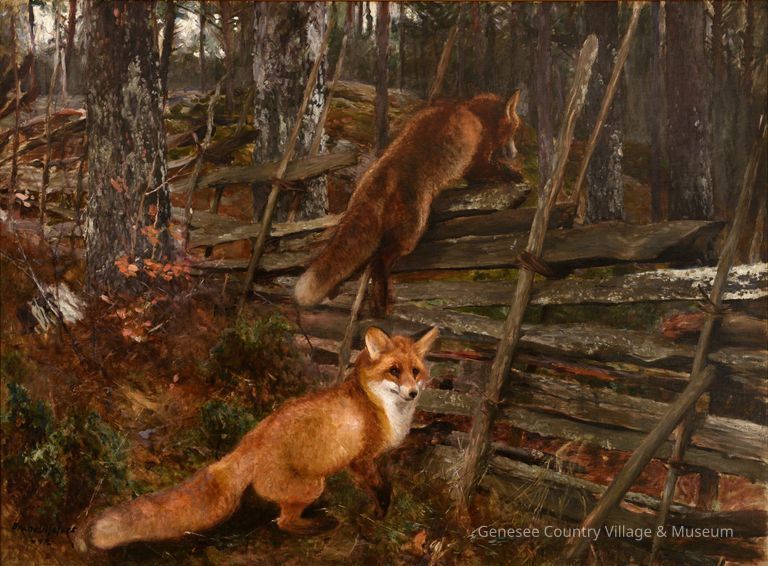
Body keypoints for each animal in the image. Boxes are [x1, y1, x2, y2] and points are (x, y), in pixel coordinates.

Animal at [75, 326, 438, 551]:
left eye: (416, 371)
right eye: (394, 371)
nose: (412, 393)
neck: (377, 404)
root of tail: (246, 445)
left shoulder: (377, 458)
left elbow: (386, 481)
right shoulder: (361, 460)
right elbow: (380, 489)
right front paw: (381, 514)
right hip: (313, 485)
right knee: (283, 522)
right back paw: (320, 525)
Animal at [295, 91, 523, 316]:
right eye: (515, 129)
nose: (515, 153)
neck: (472, 113)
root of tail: (381, 175)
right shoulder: (476, 162)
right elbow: (492, 172)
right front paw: (515, 175)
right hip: (412, 233)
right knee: (379, 260)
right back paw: (382, 304)